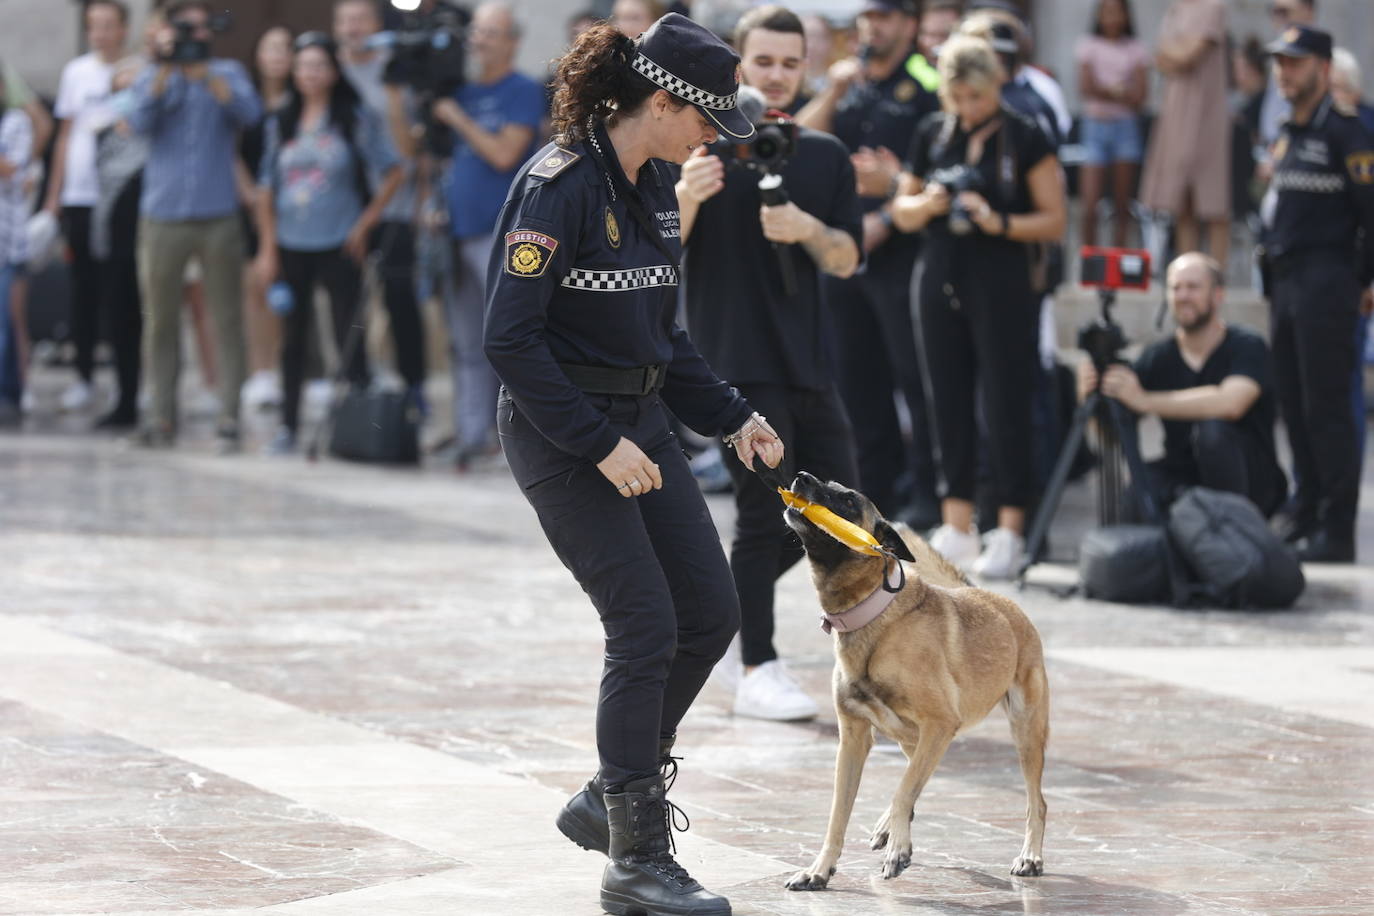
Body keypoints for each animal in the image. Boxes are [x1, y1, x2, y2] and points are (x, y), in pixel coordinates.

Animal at [780, 477, 1044, 889]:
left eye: (847, 500)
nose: (800, 477)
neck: (876, 614)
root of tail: (1000, 600)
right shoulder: (854, 739)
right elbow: (840, 814)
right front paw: (819, 870)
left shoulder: (940, 724)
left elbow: (902, 792)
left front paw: (897, 851)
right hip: (912, 738)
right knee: (914, 778)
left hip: (1025, 729)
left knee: (1036, 802)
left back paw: (1030, 856)